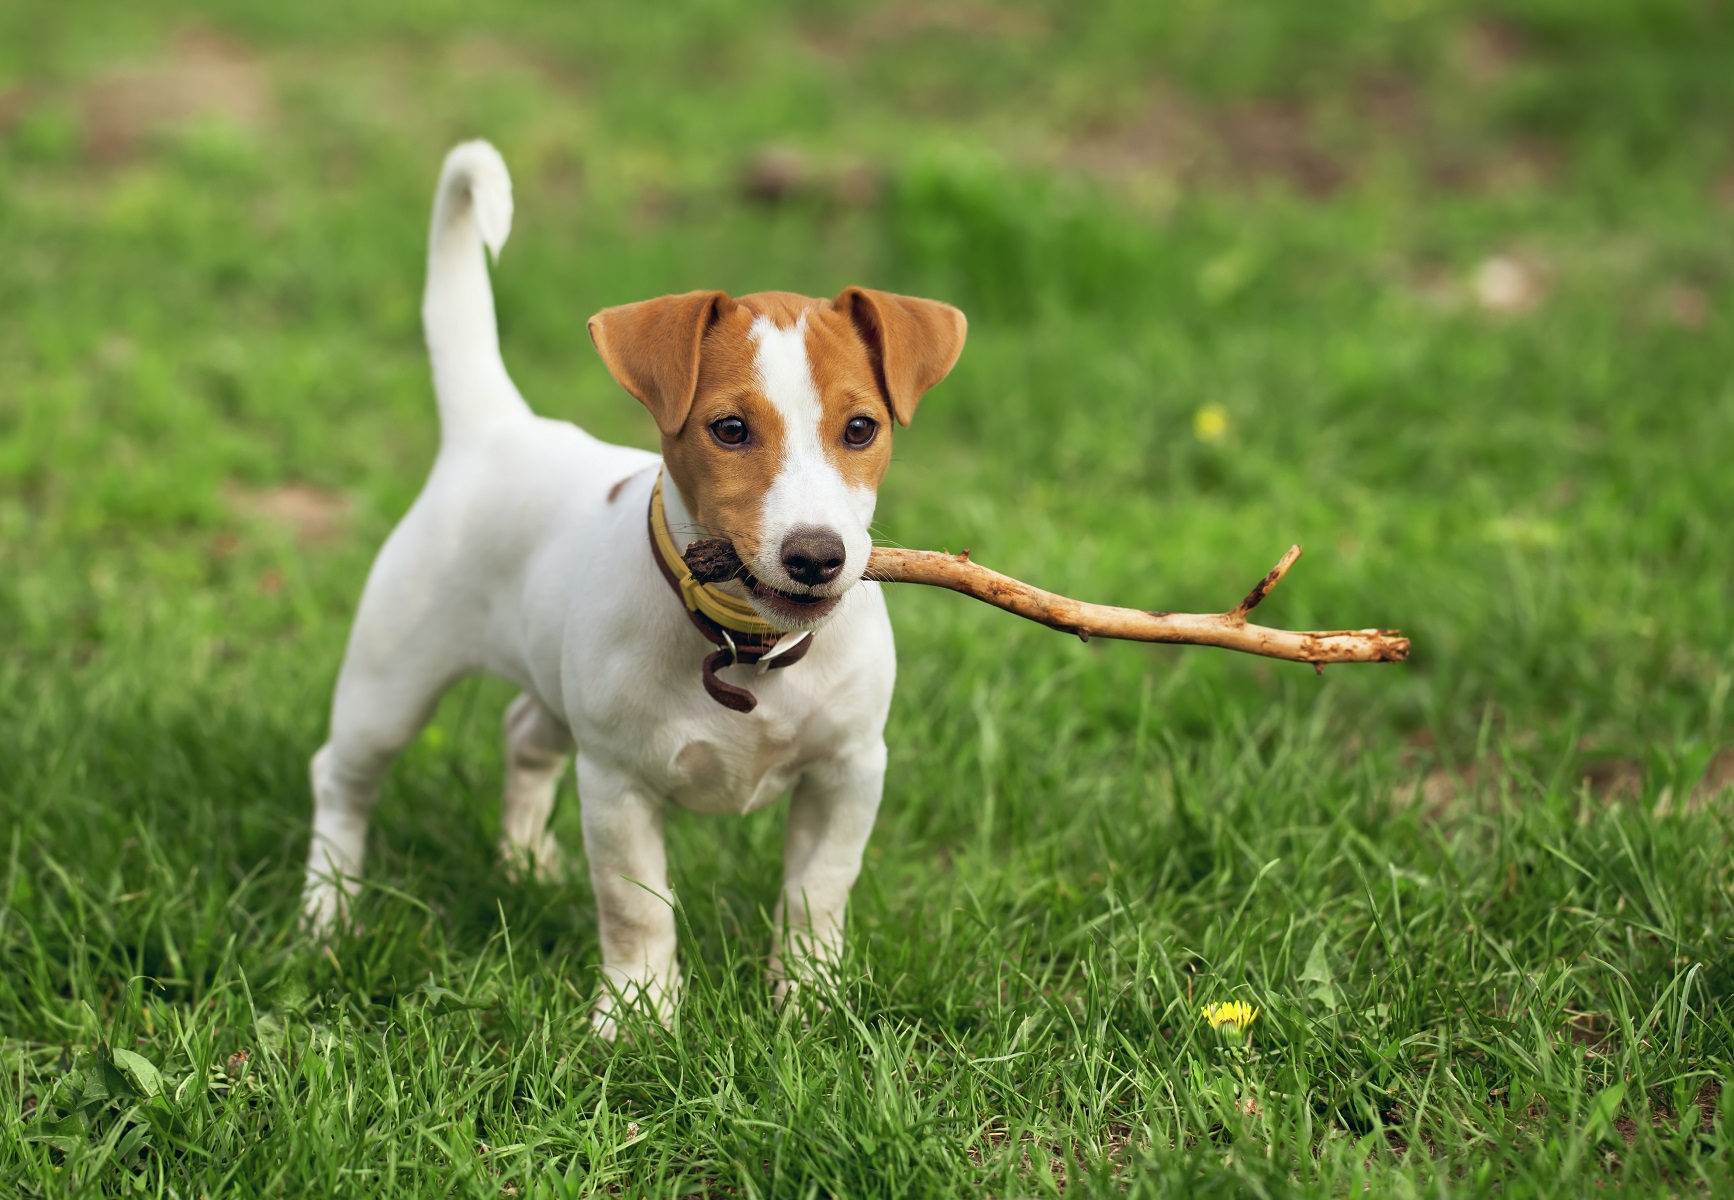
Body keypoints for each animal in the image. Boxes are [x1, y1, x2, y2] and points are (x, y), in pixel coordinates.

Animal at [305, 140, 971, 1033]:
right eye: (730, 429)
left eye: (861, 428)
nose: (816, 555)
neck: (747, 647)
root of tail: (498, 427)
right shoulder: (618, 784)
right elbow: (636, 905)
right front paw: (639, 1012)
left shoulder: (850, 769)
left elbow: (816, 895)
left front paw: (810, 998)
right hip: (390, 681)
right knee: (341, 778)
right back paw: (326, 910)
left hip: (550, 685)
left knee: (523, 735)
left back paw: (522, 862)